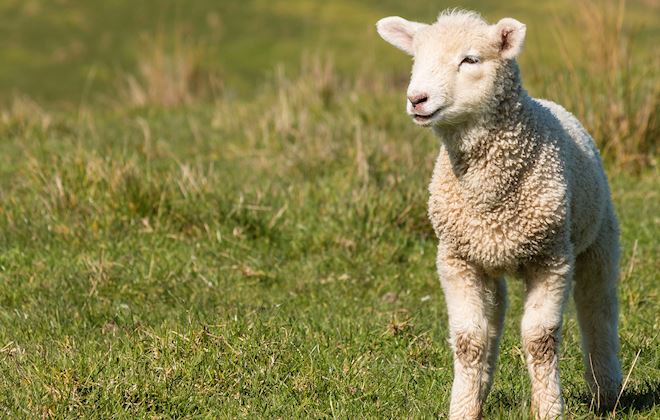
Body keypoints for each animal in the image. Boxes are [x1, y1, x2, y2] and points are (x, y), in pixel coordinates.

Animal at [376, 9, 622, 419]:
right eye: (416, 59)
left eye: (470, 60)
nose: (417, 99)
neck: (489, 195)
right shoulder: (457, 261)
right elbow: (468, 341)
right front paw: (462, 409)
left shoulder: (551, 259)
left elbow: (540, 340)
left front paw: (548, 408)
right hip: (488, 261)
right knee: (492, 322)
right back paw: (479, 391)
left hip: (598, 240)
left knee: (598, 310)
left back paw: (607, 391)